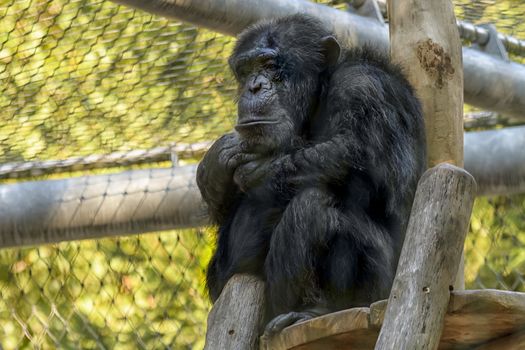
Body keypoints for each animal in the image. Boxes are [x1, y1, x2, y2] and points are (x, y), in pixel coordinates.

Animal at [196, 15, 426, 334]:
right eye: (246, 70)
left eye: (270, 65)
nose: (254, 86)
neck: (318, 96)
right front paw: (216, 167)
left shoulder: (364, 87)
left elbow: (357, 157)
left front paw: (247, 167)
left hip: (380, 289)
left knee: (312, 206)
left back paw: (314, 309)